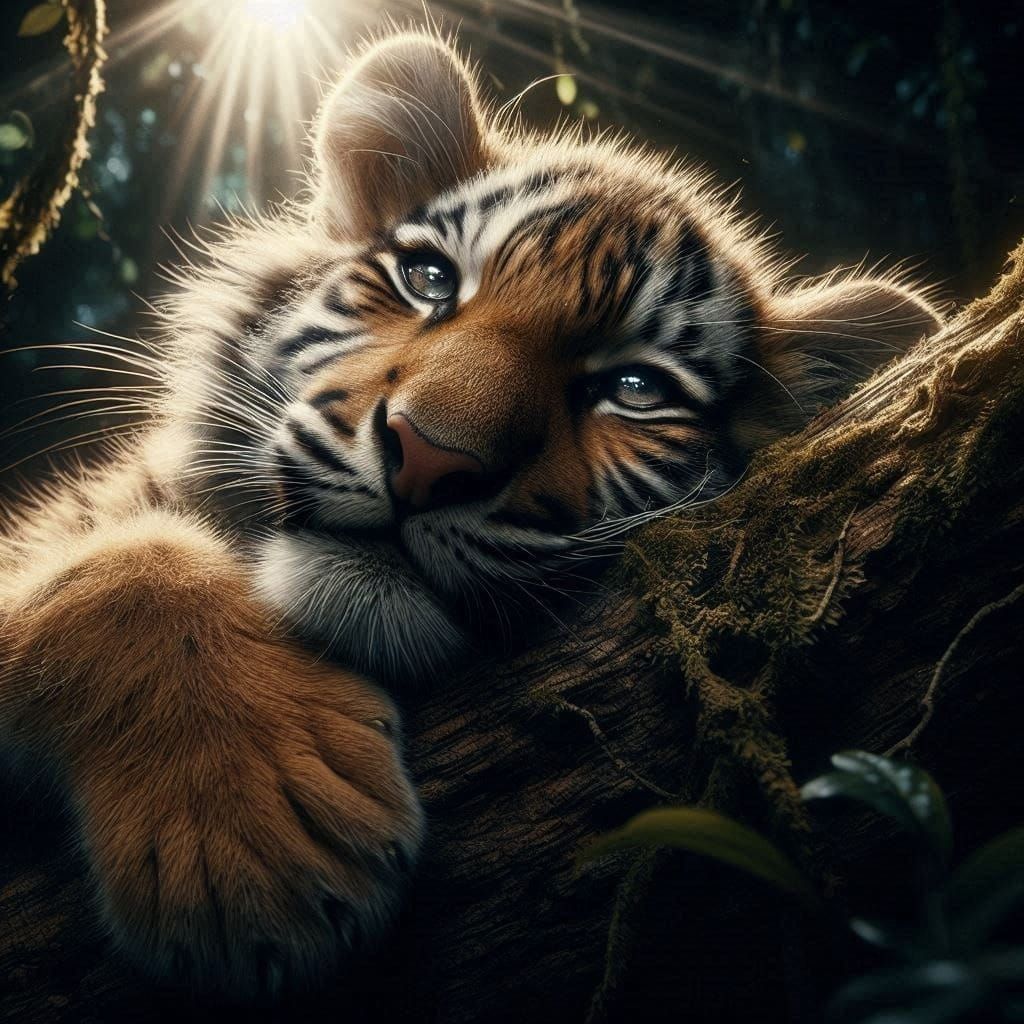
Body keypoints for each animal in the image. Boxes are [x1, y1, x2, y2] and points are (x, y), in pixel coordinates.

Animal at [0, 27, 941, 999]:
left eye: (635, 389)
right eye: (429, 278)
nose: (428, 459)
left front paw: (261, 839)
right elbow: (123, 569)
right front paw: (257, 839)